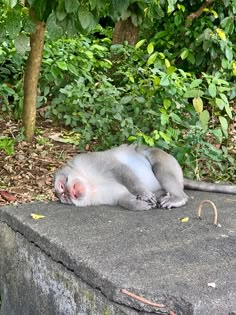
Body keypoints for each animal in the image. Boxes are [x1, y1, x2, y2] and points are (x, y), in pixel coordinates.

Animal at [54, 144, 236, 211]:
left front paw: (142, 192)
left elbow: (118, 169)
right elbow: (122, 199)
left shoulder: (88, 161)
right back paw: (161, 195)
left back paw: (178, 198)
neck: (91, 183)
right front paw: (140, 204)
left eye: (62, 187)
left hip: (166, 160)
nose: (70, 193)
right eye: (64, 197)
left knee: (159, 166)